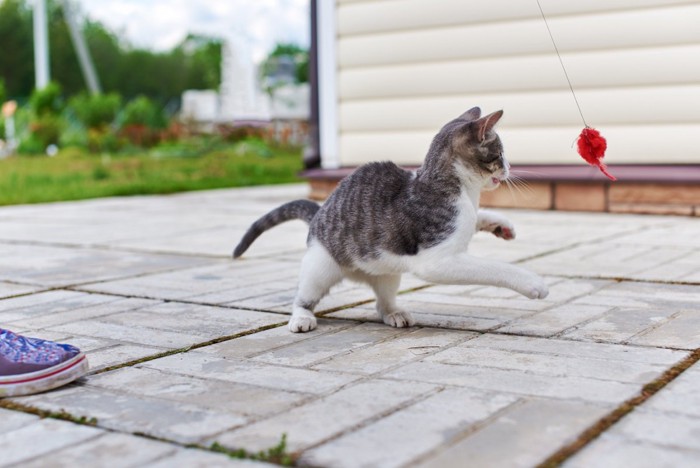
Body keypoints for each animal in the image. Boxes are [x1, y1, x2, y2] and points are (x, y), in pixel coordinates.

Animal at [232, 106, 548, 332]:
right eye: (500, 153)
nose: (509, 167)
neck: (463, 191)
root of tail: (320, 213)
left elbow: (479, 217)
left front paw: (501, 224)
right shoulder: (436, 260)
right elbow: (493, 268)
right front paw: (533, 283)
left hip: (388, 271)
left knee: (381, 302)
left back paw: (393, 313)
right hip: (320, 266)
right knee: (304, 295)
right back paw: (301, 317)